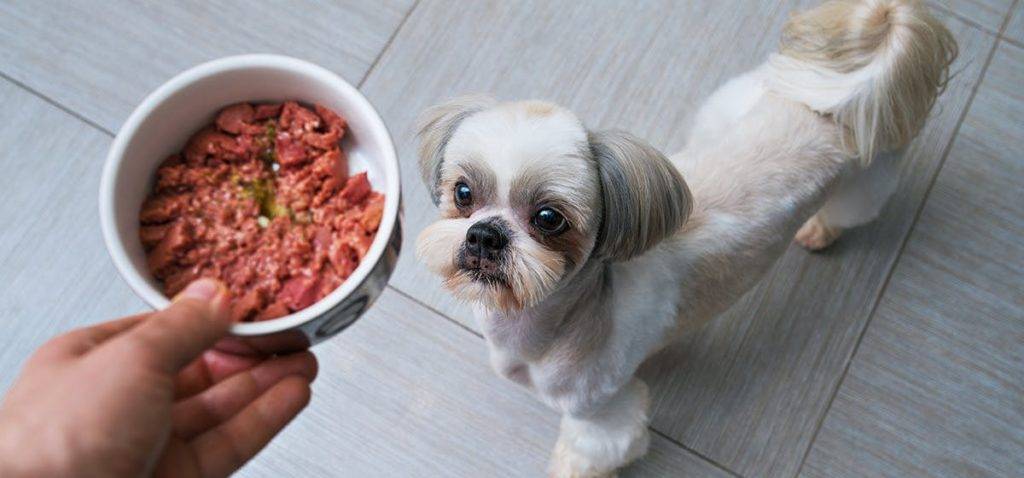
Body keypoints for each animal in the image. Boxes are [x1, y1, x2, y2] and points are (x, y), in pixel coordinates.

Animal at [411, 1, 954, 476]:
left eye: (549, 218)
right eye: (463, 191)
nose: (485, 235)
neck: (553, 323)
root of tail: (853, 89)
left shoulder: (602, 413)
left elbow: (589, 451)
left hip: (867, 179)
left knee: (852, 210)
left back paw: (820, 230)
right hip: (732, 104)